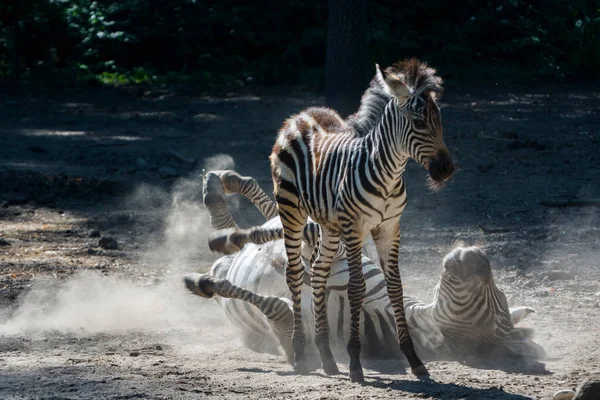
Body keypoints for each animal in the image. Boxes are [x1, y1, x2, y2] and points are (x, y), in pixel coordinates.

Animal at [183, 170, 544, 370]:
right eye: (501, 295)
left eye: (494, 306)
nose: (478, 253)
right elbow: (294, 231)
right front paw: (233, 240)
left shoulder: (293, 326)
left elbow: (276, 308)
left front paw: (202, 282)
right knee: (276, 211)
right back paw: (223, 185)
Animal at [272, 57, 454, 380]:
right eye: (420, 123)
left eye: (440, 120)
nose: (447, 169)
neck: (388, 174)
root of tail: (302, 115)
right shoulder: (354, 227)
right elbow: (356, 288)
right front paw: (356, 362)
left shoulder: (389, 228)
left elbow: (395, 287)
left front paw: (414, 359)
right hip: (291, 210)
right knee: (294, 274)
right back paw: (300, 355)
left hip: (329, 225)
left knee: (318, 270)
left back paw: (327, 356)